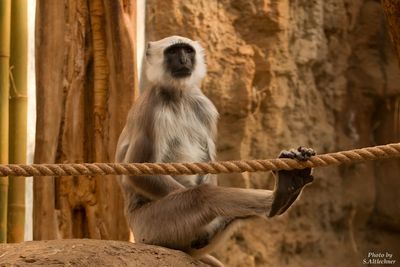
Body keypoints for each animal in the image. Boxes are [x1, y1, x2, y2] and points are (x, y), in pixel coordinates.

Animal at [115, 36, 316, 267]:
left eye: (187, 51)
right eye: (173, 52)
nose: (183, 60)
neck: (179, 96)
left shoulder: (205, 107)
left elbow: (208, 161)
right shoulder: (151, 108)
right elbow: (137, 173)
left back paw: (285, 190)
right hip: (151, 225)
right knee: (202, 196)